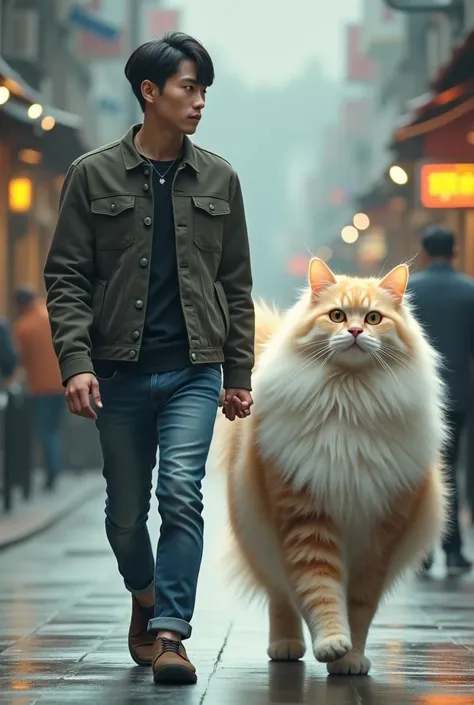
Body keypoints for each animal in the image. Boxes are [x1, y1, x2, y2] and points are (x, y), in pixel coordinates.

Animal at [218, 256, 448, 672]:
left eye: (373, 318)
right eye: (337, 315)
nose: (355, 331)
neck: (349, 397)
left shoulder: (381, 537)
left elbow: (359, 606)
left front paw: (351, 659)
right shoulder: (307, 518)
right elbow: (320, 591)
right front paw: (332, 644)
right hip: (259, 539)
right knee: (280, 596)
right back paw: (286, 646)